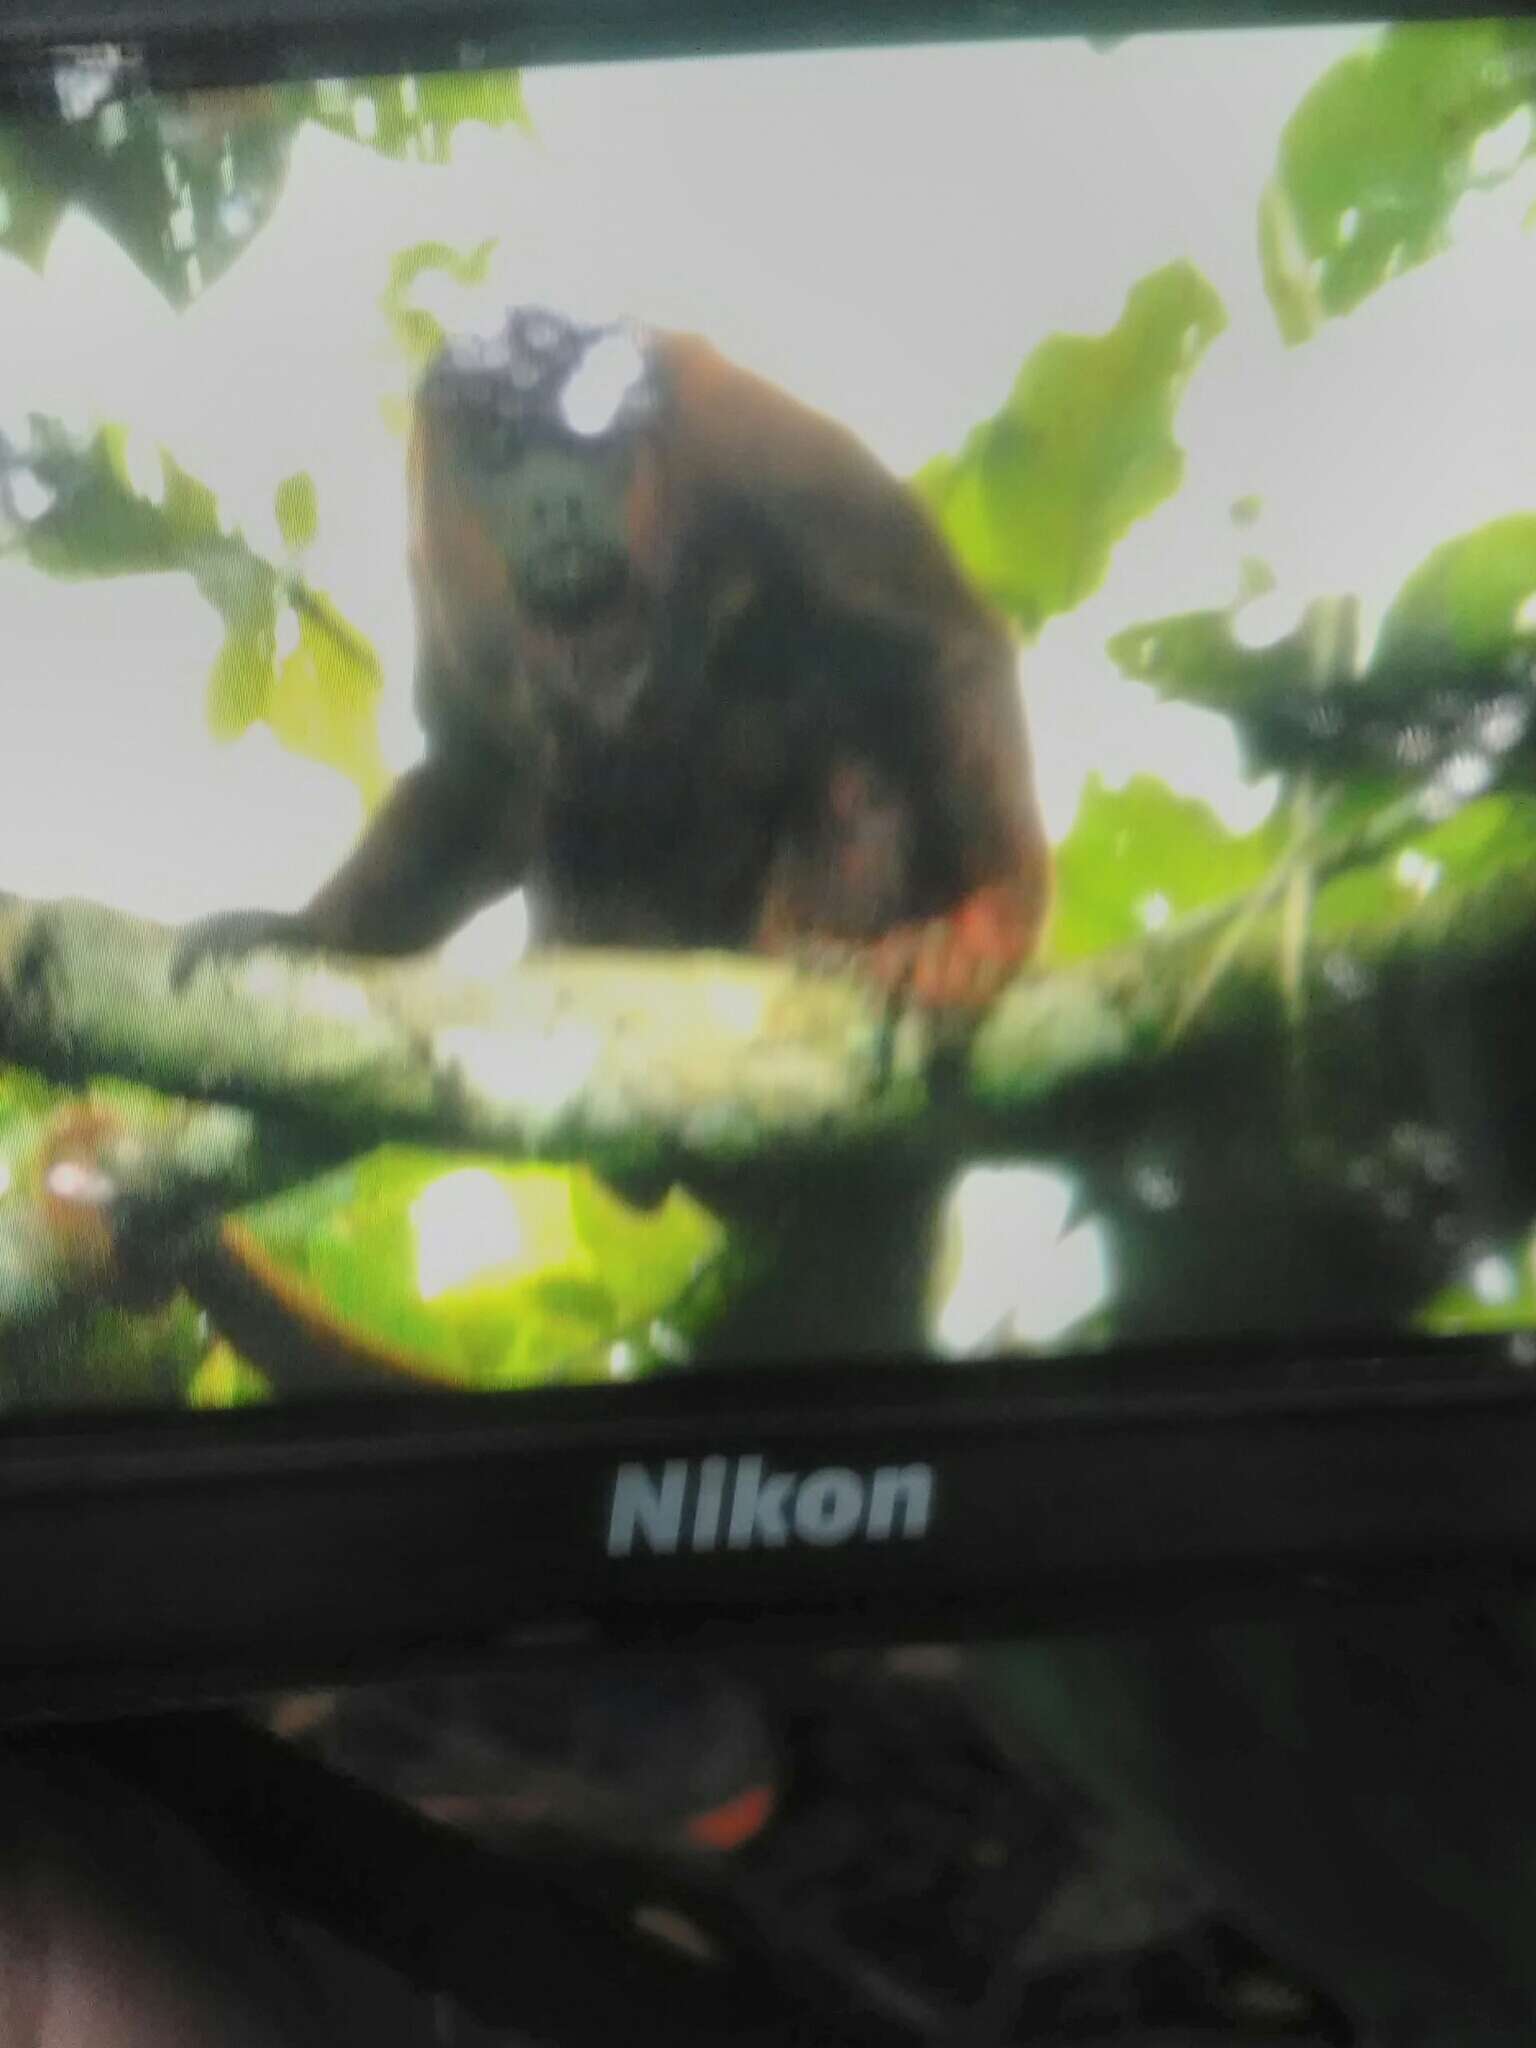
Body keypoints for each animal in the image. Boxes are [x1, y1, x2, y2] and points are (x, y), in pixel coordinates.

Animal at [174, 305, 1056, 1007]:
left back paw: (809, 948)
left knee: (861, 761)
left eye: (577, 436)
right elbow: (479, 775)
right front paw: (307, 932)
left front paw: (990, 923)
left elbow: (945, 640)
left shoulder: (735, 427)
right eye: (503, 446)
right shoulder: (433, 552)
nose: (555, 501)